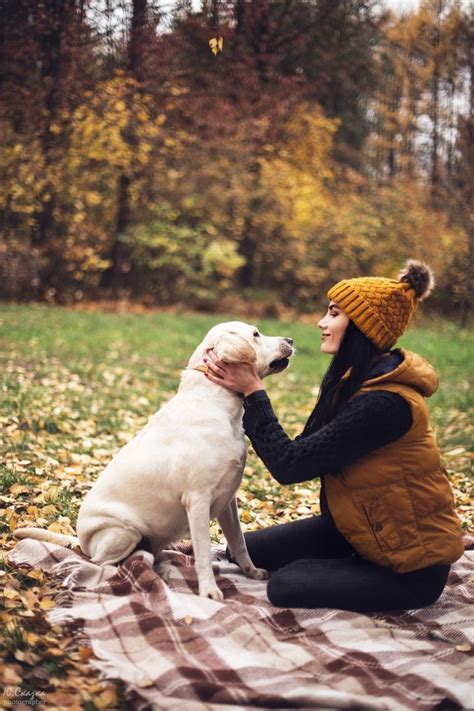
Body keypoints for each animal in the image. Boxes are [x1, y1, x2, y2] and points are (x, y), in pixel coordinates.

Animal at [15, 324, 292, 600]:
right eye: (255, 334)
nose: (290, 339)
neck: (218, 402)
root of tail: (80, 542)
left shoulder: (228, 501)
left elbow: (239, 542)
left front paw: (251, 571)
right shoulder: (198, 500)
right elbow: (203, 552)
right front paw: (209, 591)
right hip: (123, 532)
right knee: (102, 563)